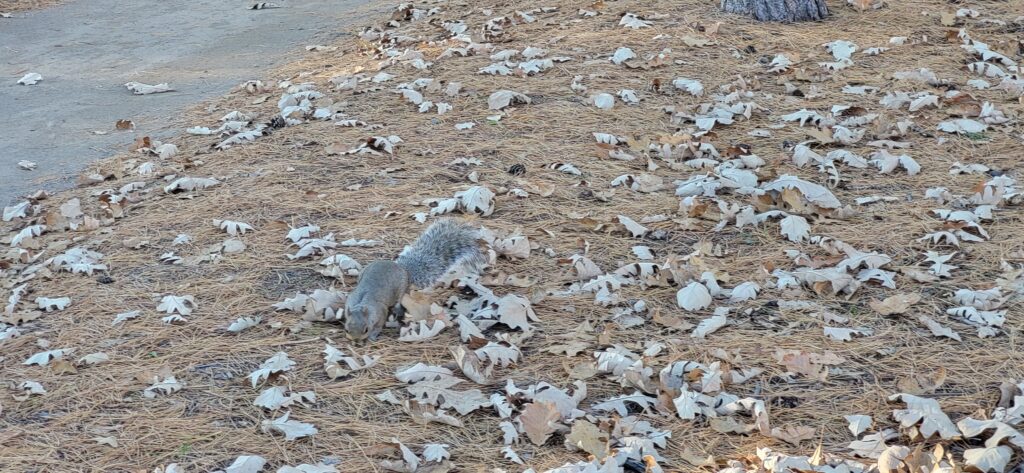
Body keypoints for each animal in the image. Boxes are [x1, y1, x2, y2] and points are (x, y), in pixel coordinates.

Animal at [344, 218, 483, 339]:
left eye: (366, 329)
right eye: (347, 329)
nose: (356, 341)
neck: (362, 304)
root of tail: (402, 268)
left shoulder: (380, 312)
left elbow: (379, 325)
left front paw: (373, 336)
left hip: (400, 290)